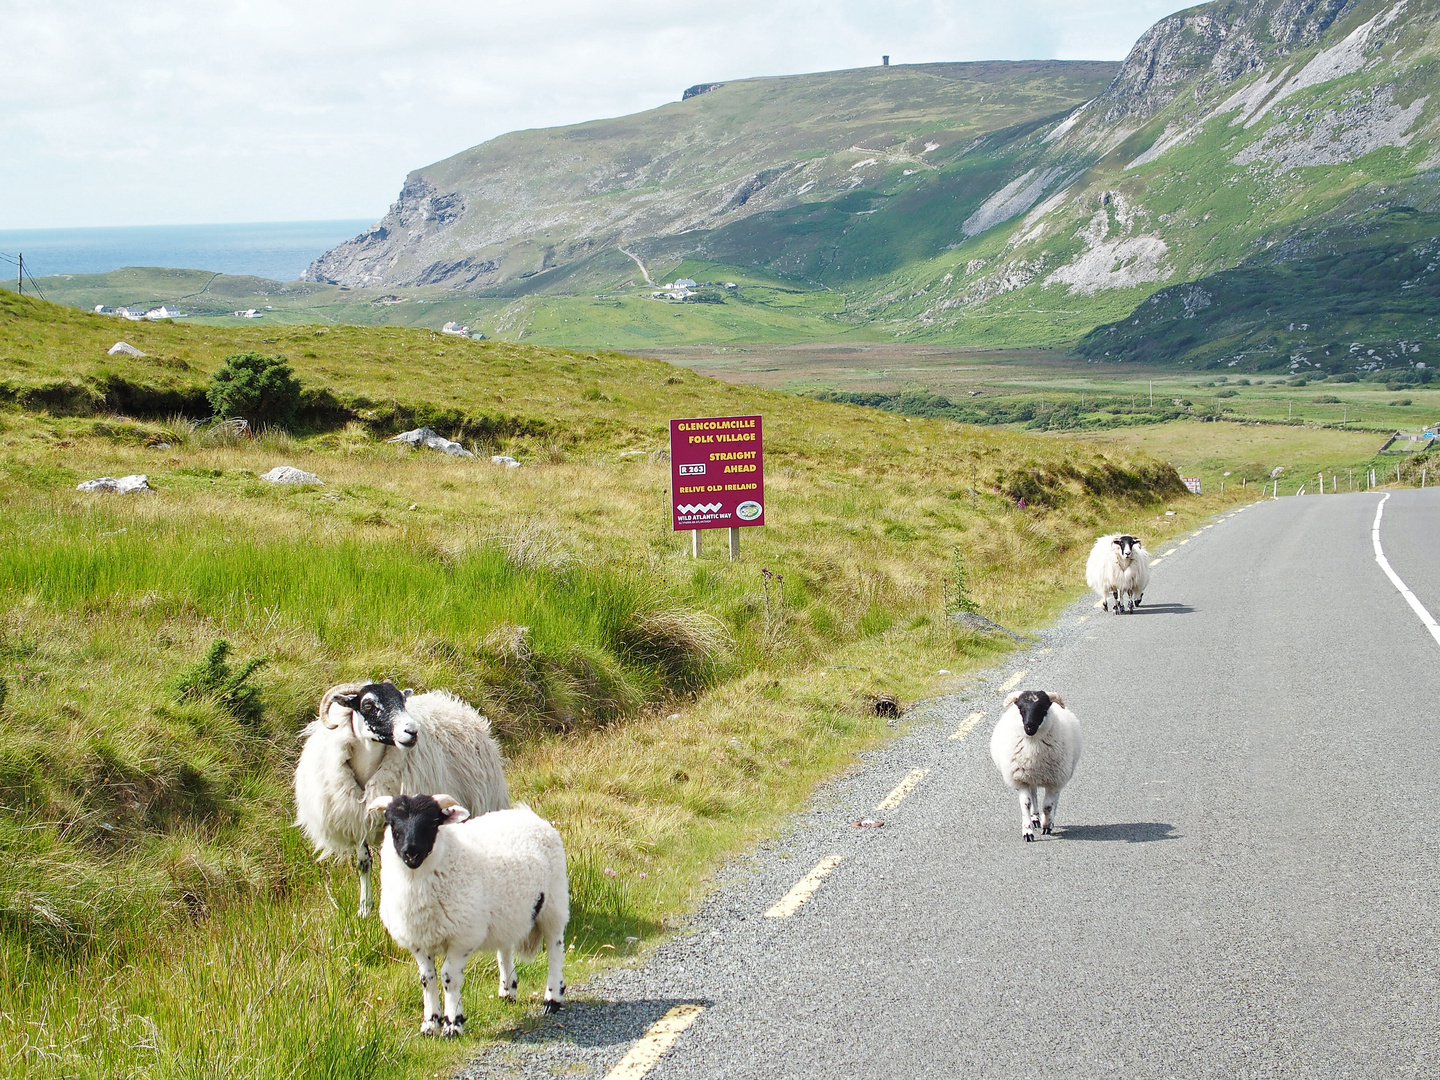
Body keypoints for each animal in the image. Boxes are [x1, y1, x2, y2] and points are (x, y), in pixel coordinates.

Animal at [289, 679, 509, 915]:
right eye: (368, 705)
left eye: (402, 701)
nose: (412, 731)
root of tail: (453, 702)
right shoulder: (357, 821)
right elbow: (363, 864)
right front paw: (364, 909)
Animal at [365, 794, 567, 1042]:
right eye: (392, 823)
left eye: (433, 822)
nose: (411, 853)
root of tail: (528, 814)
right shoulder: (419, 941)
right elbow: (427, 979)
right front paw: (429, 1024)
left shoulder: (462, 938)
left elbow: (449, 977)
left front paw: (453, 1024)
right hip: (507, 913)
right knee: (505, 948)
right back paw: (507, 990)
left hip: (554, 903)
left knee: (555, 947)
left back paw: (552, 998)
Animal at [990, 694, 1082, 846]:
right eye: (1021, 708)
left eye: (1043, 708)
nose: (1029, 727)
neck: (1033, 748)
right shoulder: (1021, 780)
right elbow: (1026, 803)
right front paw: (1028, 831)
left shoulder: (1054, 781)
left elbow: (1048, 806)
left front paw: (1047, 825)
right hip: (1030, 777)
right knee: (1033, 794)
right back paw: (1035, 818)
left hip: (1059, 777)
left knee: (1055, 800)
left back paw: (1049, 820)